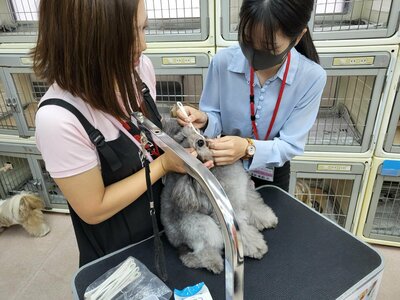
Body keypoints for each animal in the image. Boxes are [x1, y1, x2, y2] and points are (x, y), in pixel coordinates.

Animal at [160, 118, 278, 274]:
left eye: (186, 135)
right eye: (194, 154)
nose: (200, 142)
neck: (215, 167)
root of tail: (176, 240)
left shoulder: (245, 192)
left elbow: (255, 206)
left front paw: (268, 219)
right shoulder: (230, 213)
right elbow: (244, 232)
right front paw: (256, 247)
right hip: (201, 226)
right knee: (203, 250)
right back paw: (213, 263)